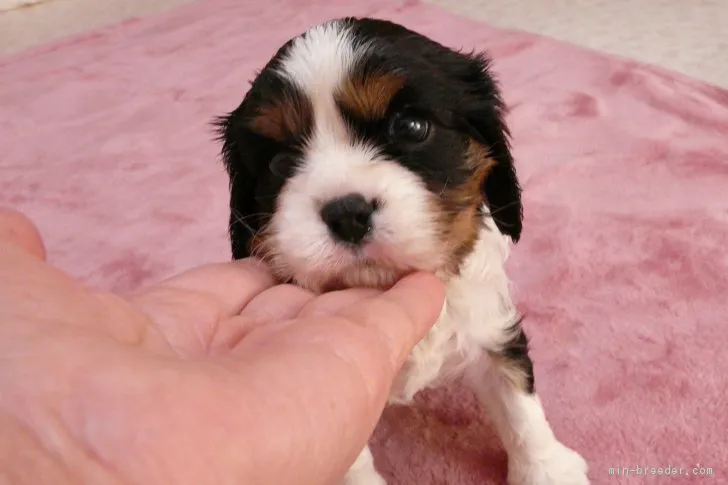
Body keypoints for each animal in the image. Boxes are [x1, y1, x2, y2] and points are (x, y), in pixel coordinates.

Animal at [213, 16, 588, 484]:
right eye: (279, 163)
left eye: (411, 128)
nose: (347, 213)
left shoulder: (490, 323)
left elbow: (519, 400)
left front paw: (547, 469)